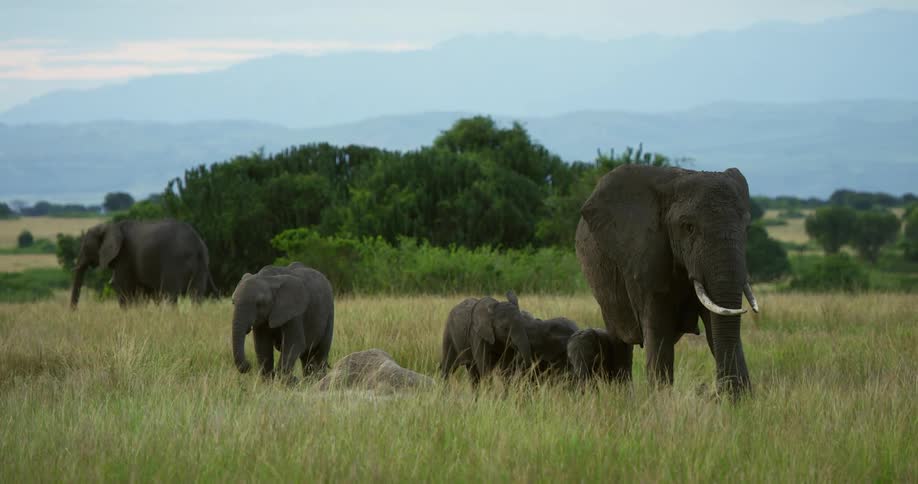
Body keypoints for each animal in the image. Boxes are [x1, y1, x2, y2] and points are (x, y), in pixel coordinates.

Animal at [70, 220, 216, 308]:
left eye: (85, 246)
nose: (74, 311)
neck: (110, 226)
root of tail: (198, 244)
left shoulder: (124, 256)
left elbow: (120, 285)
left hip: (176, 263)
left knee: (170, 295)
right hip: (202, 264)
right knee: (196, 295)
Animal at [575, 164, 760, 399]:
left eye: (747, 228)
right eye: (688, 227)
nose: (715, 393)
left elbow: (713, 323)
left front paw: (738, 402)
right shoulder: (646, 255)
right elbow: (659, 329)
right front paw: (661, 402)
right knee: (620, 336)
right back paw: (624, 398)